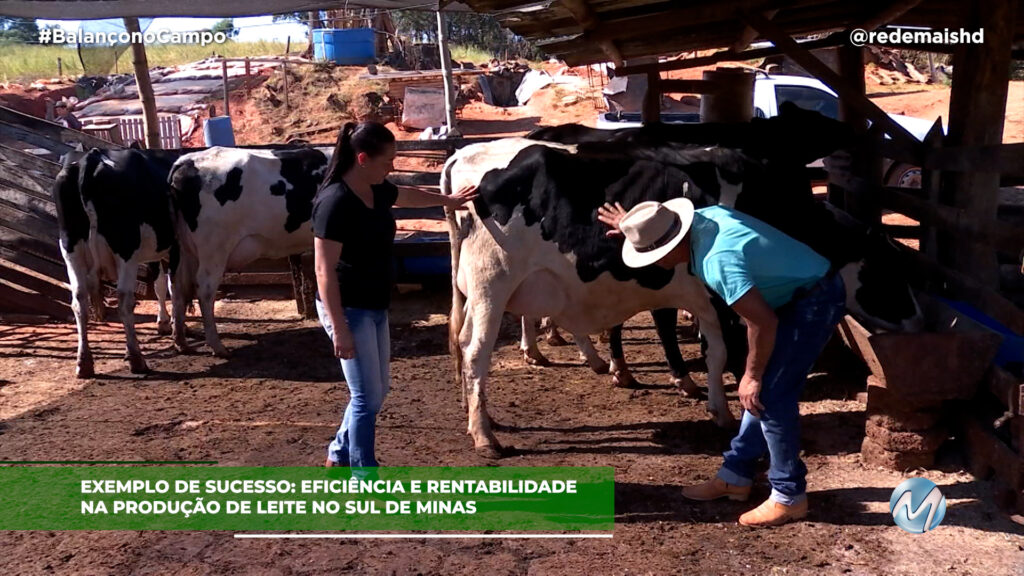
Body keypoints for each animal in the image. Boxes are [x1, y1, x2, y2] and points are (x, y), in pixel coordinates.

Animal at [54, 146, 183, 377]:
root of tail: (91, 158)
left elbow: (160, 285)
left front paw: (164, 323)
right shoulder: (175, 246)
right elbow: (173, 287)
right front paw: (178, 333)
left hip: (70, 248)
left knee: (79, 301)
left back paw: (84, 363)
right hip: (126, 249)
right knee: (124, 300)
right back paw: (136, 359)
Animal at [440, 136, 753, 455]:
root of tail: (465, 153)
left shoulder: (704, 301)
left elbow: (715, 352)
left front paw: (720, 411)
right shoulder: (717, 297)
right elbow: (726, 350)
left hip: (478, 292)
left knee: (463, 341)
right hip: (491, 287)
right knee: (476, 351)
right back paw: (484, 435)